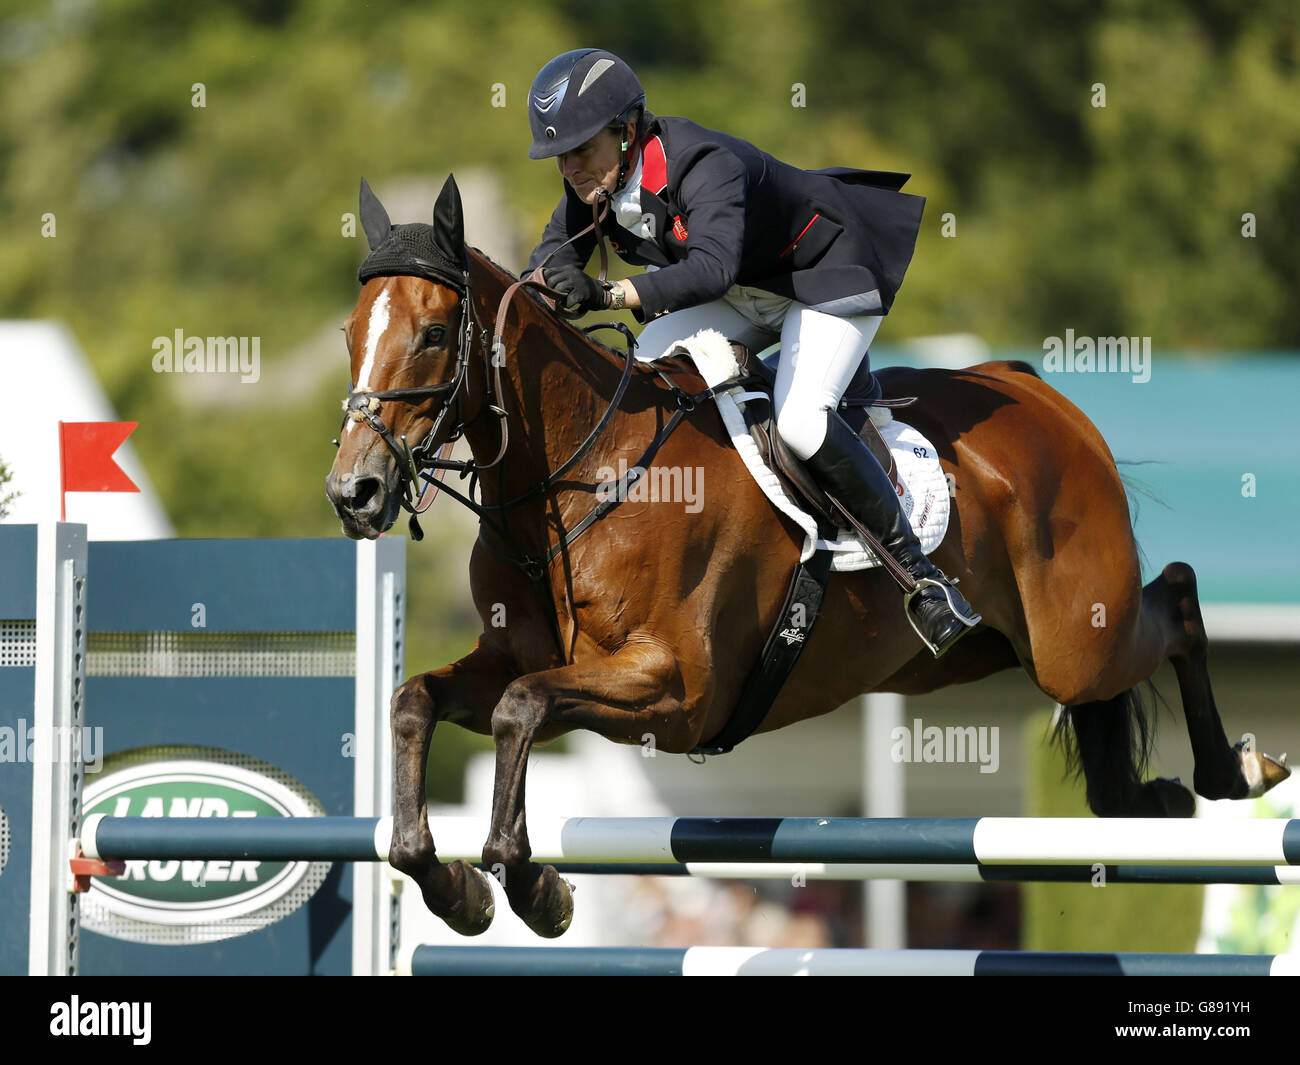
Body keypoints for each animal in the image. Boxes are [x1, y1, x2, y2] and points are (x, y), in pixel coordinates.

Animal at [325, 175, 1289, 938]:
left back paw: (1237, 767)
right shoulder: (521, 657)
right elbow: (418, 702)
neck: (577, 479)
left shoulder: (673, 690)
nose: (354, 492)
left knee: (1177, 599)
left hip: (1077, 639)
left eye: (435, 334)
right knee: (1114, 746)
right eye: (350, 333)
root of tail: (1038, 392)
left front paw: (533, 888)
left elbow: (520, 708)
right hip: (983, 656)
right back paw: (1160, 799)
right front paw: (453, 887)